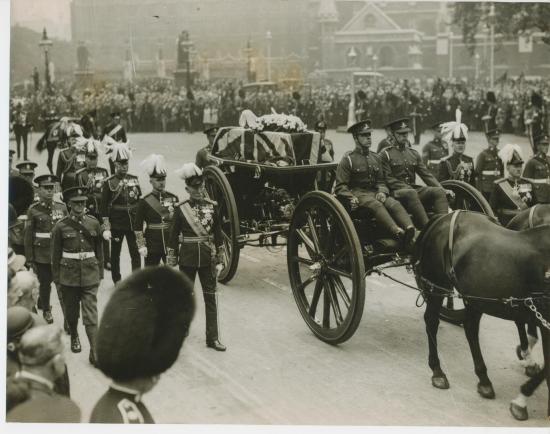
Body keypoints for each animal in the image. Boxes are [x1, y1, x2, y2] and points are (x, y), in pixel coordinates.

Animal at [416, 210, 548, 420]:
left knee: (470, 328)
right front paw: (520, 402)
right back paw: (438, 371)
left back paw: (484, 379)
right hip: (438, 285)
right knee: (432, 321)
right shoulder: (545, 322)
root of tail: (444, 217)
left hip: (474, 296)